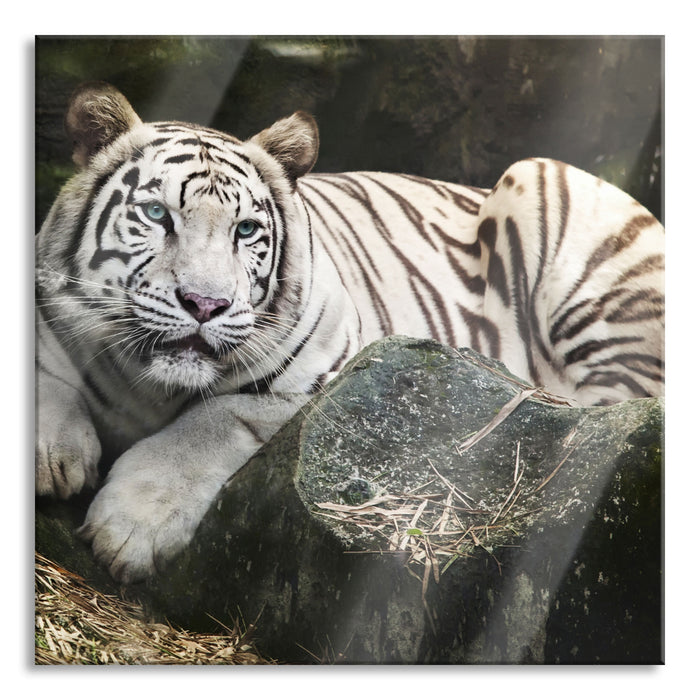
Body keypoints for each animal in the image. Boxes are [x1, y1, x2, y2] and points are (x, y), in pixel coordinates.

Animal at [35, 82, 664, 583]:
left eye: (246, 231)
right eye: (158, 216)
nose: (206, 304)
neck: (149, 384)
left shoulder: (320, 376)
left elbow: (213, 421)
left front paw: (130, 528)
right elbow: (45, 374)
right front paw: (52, 455)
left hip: (549, 189)